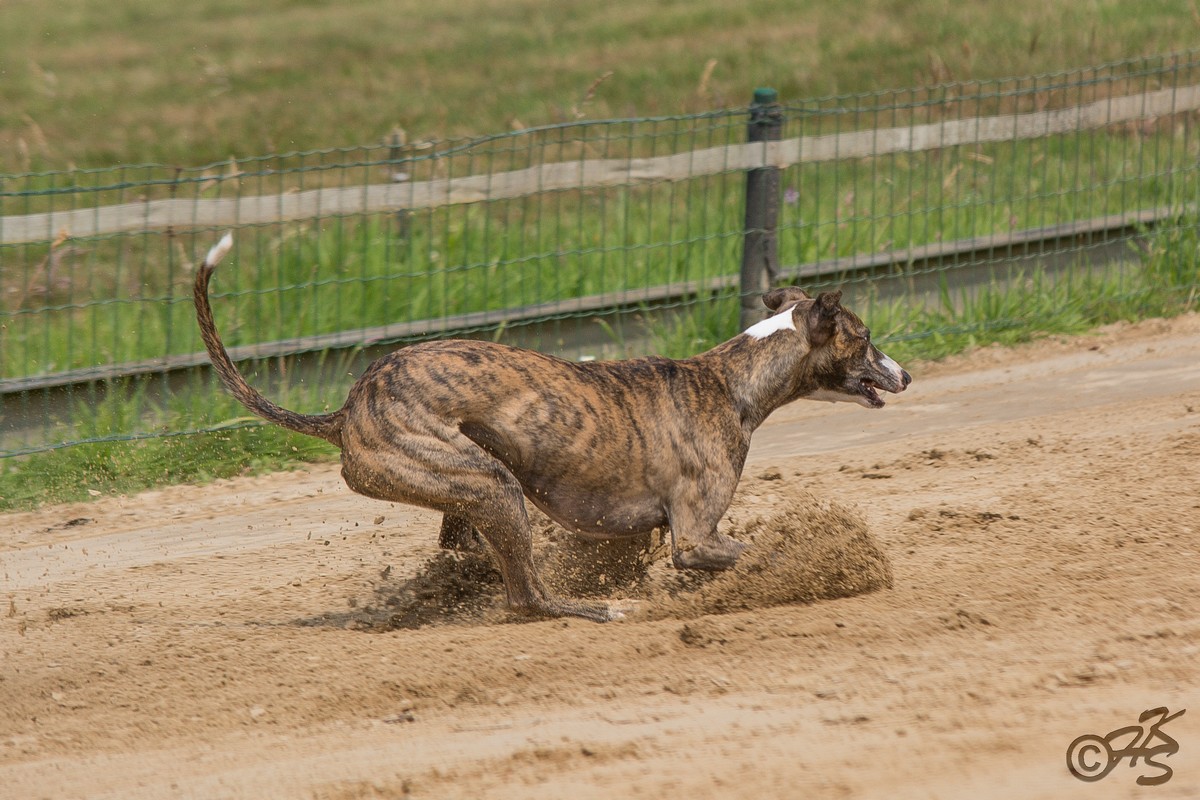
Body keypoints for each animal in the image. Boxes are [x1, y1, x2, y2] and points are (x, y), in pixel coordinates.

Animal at [194, 233, 910, 622]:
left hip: (466, 483)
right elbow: (753, 552)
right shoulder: (695, 536)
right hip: (489, 484)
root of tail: (349, 407)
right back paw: (594, 609)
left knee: (466, 550)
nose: (904, 375)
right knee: (527, 596)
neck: (729, 383)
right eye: (865, 337)